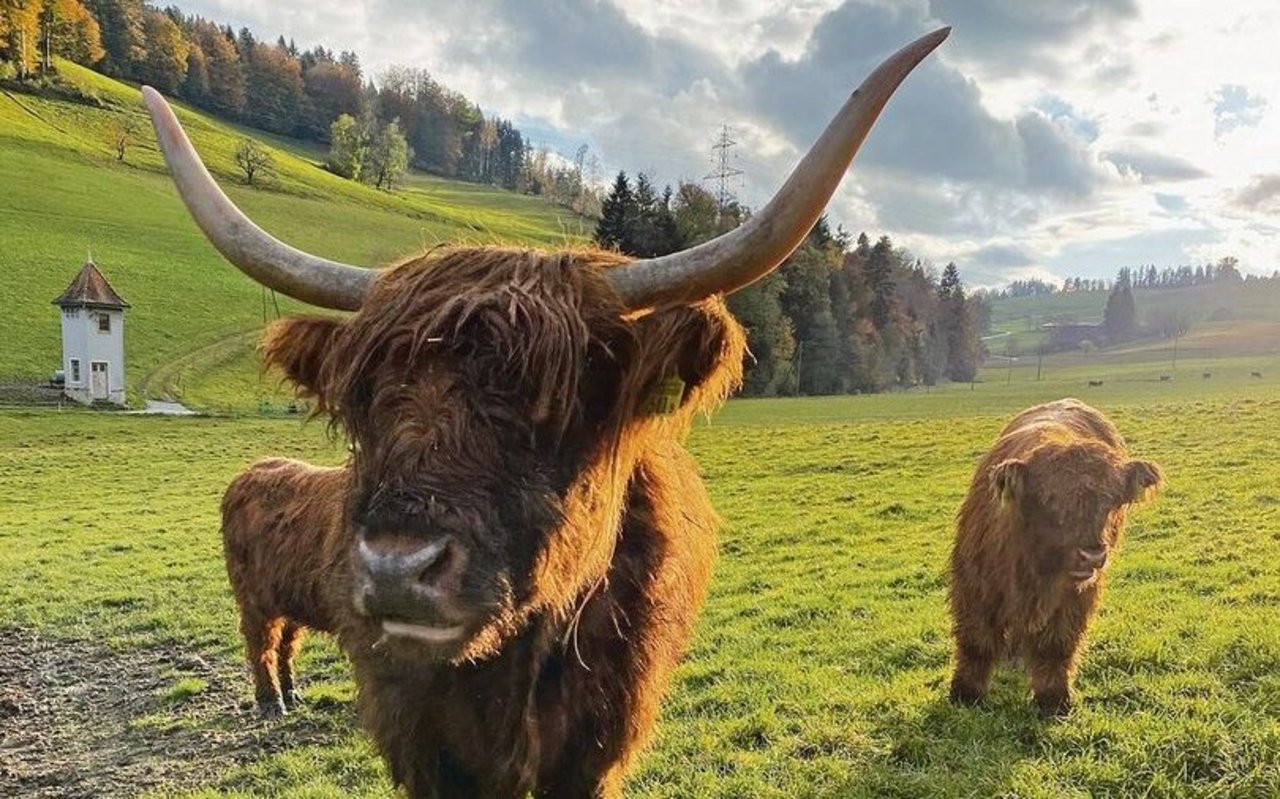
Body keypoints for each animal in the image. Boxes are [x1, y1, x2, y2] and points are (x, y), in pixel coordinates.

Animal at [221, 458, 350, 717]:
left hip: (290, 601)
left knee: (285, 647)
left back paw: (291, 693)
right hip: (254, 600)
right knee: (261, 646)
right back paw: (271, 701)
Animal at [952, 396, 1162, 717]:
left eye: (1111, 503)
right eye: (1050, 500)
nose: (1092, 555)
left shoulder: (1074, 598)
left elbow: (1057, 645)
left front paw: (1053, 698)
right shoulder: (975, 585)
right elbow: (976, 641)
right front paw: (965, 694)